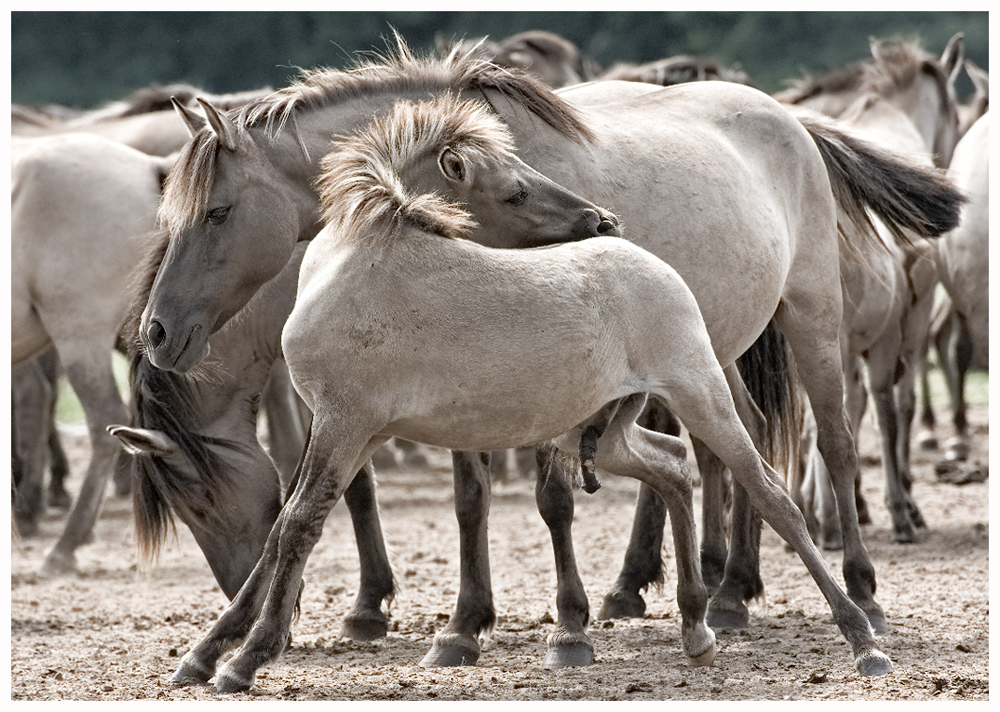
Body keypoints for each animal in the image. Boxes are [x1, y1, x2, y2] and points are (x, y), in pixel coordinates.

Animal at [139, 40, 960, 672]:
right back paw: (721, 594)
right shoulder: (450, 397)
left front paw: (565, 628)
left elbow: (551, 500)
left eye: (216, 212)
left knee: (833, 443)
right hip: (716, 355)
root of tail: (791, 117)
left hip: (810, 318)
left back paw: (859, 597)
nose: (156, 331)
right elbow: (465, 500)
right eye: (171, 212)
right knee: (728, 451)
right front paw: (460, 627)